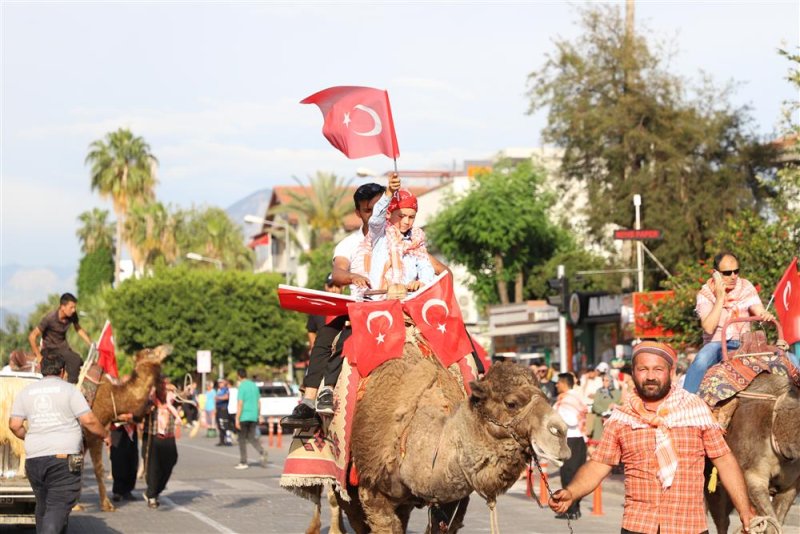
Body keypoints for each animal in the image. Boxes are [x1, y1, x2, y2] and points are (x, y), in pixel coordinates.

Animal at [85, 346, 172, 512]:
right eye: (150, 351)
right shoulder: (92, 434)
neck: (112, 396)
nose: (168, 347)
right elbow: (98, 469)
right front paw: (106, 505)